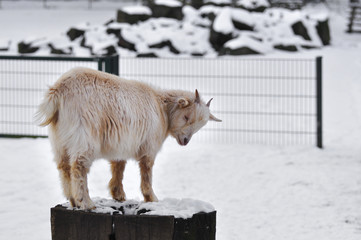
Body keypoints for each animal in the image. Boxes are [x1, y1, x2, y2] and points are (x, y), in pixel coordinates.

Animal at [35, 66, 221, 209]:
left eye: (200, 125)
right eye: (187, 117)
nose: (185, 141)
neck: (161, 108)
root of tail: (58, 91)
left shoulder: (121, 144)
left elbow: (119, 167)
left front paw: (118, 195)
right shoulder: (149, 145)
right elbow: (146, 170)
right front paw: (151, 198)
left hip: (60, 139)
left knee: (64, 167)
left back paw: (73, 200)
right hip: (84, 134)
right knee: (78, 167)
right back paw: (86, 202)